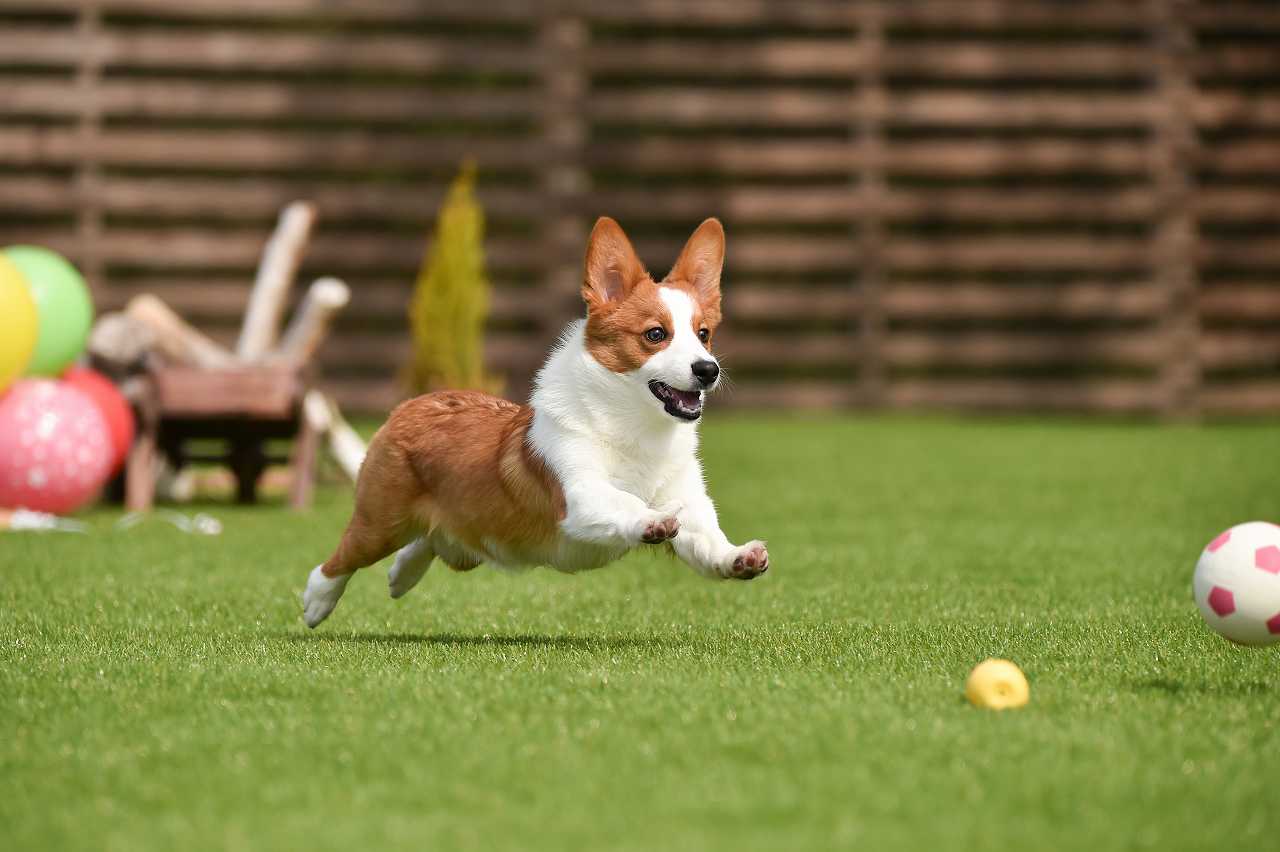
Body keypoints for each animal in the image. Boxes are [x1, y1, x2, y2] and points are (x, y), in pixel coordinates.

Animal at [304, 216, 762, 626]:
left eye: (703, 334)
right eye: (655, 334)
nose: (708, 370)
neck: (638, 430)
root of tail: (413, 405)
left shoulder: (692, 504)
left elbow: (708, 541)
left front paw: (739, 557)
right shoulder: (578, 494)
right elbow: (627, 502)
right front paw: (651, 520)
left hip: (465, 540)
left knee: (428, 542)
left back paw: (401, 576)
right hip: (379, 523)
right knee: (341, 558)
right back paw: (316, 602)